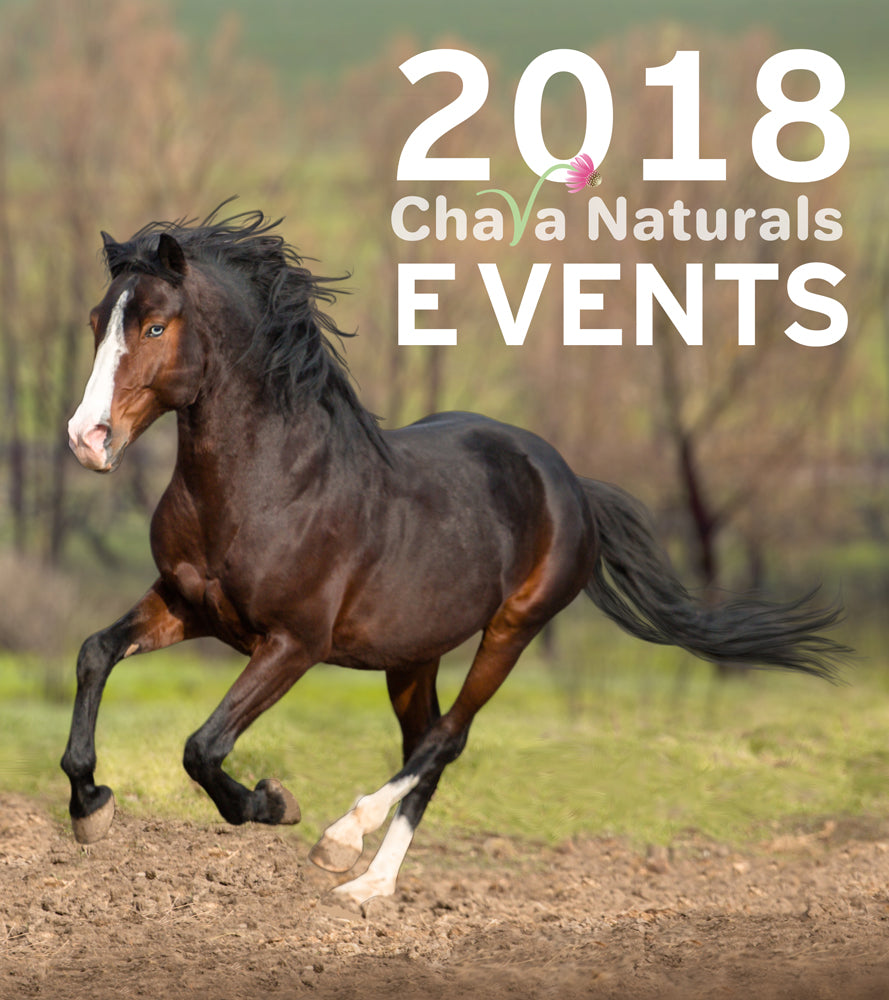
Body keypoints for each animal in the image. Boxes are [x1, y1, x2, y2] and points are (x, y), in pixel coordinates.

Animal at [63, 205, 846, 906]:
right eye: (97, 322)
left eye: (155, 326)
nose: (86, 439)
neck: (267, 481)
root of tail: (569, 481)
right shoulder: (187, 604)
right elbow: (96, 654)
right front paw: (90, 805)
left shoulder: (293, 643)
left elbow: (204, 746)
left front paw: (275, 803)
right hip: (412, 654)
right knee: (426, 744)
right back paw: (368, 886)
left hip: (513, 629)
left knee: (447, 738)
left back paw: (344, 849)